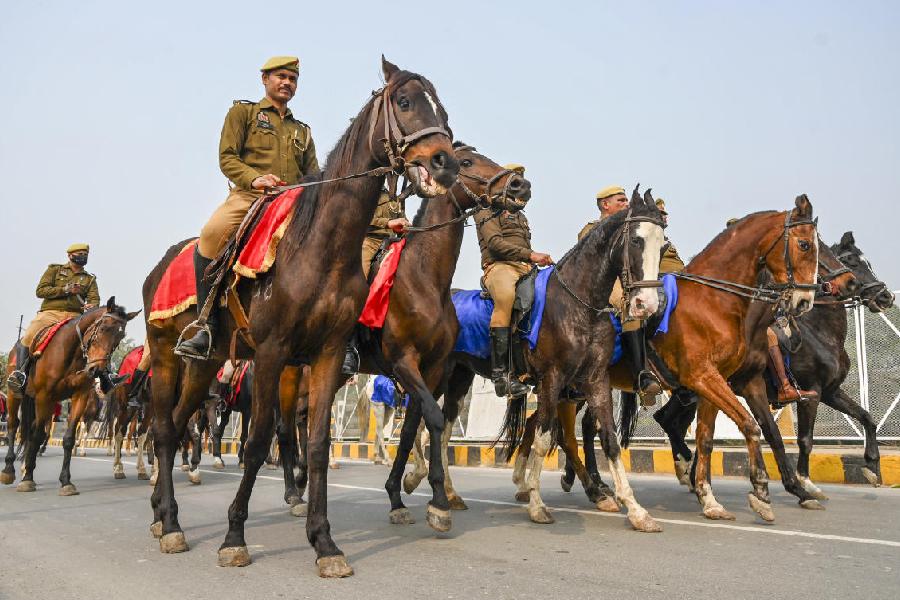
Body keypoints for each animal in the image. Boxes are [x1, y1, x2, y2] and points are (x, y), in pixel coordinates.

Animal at [1, 298, 138, 494]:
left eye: (120, 337)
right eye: (103, 328)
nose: (97, 370)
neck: (71, 352)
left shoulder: (79, 396)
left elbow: (68, 439)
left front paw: (66, 481)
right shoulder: (44, 396)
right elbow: (36, 435)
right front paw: (27, 479)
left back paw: (26, 465)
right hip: (15, 394)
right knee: (14, 425)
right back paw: (9, 470)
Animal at [142, 58, 458, 577]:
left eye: (443, 109)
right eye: (405, 101)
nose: (445, 163)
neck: (320, 246)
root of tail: (160, 266)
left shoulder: (328, 354)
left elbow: (316, 445)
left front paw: (325, 543)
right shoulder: (273, 353)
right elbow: (256, 443)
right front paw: (234, 536)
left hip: (207, 365)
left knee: (177, 421)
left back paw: (159, 514)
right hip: (167, 354)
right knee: (167, 429)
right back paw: (171, 524)